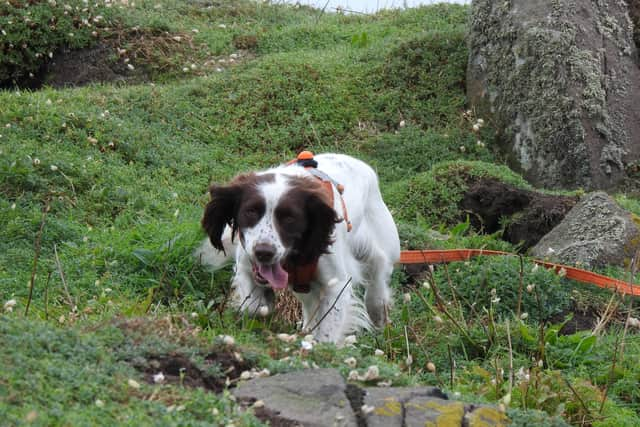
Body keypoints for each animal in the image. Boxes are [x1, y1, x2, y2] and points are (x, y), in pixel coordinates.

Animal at [198, 154, 400, 344]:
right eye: (251, 211)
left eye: (290, 217)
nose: (264, 253)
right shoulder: (245, 267)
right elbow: (255, 306)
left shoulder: (337, 284)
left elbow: (327, 332)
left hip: (380, 249)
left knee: (378, 275)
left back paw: (377, 312)